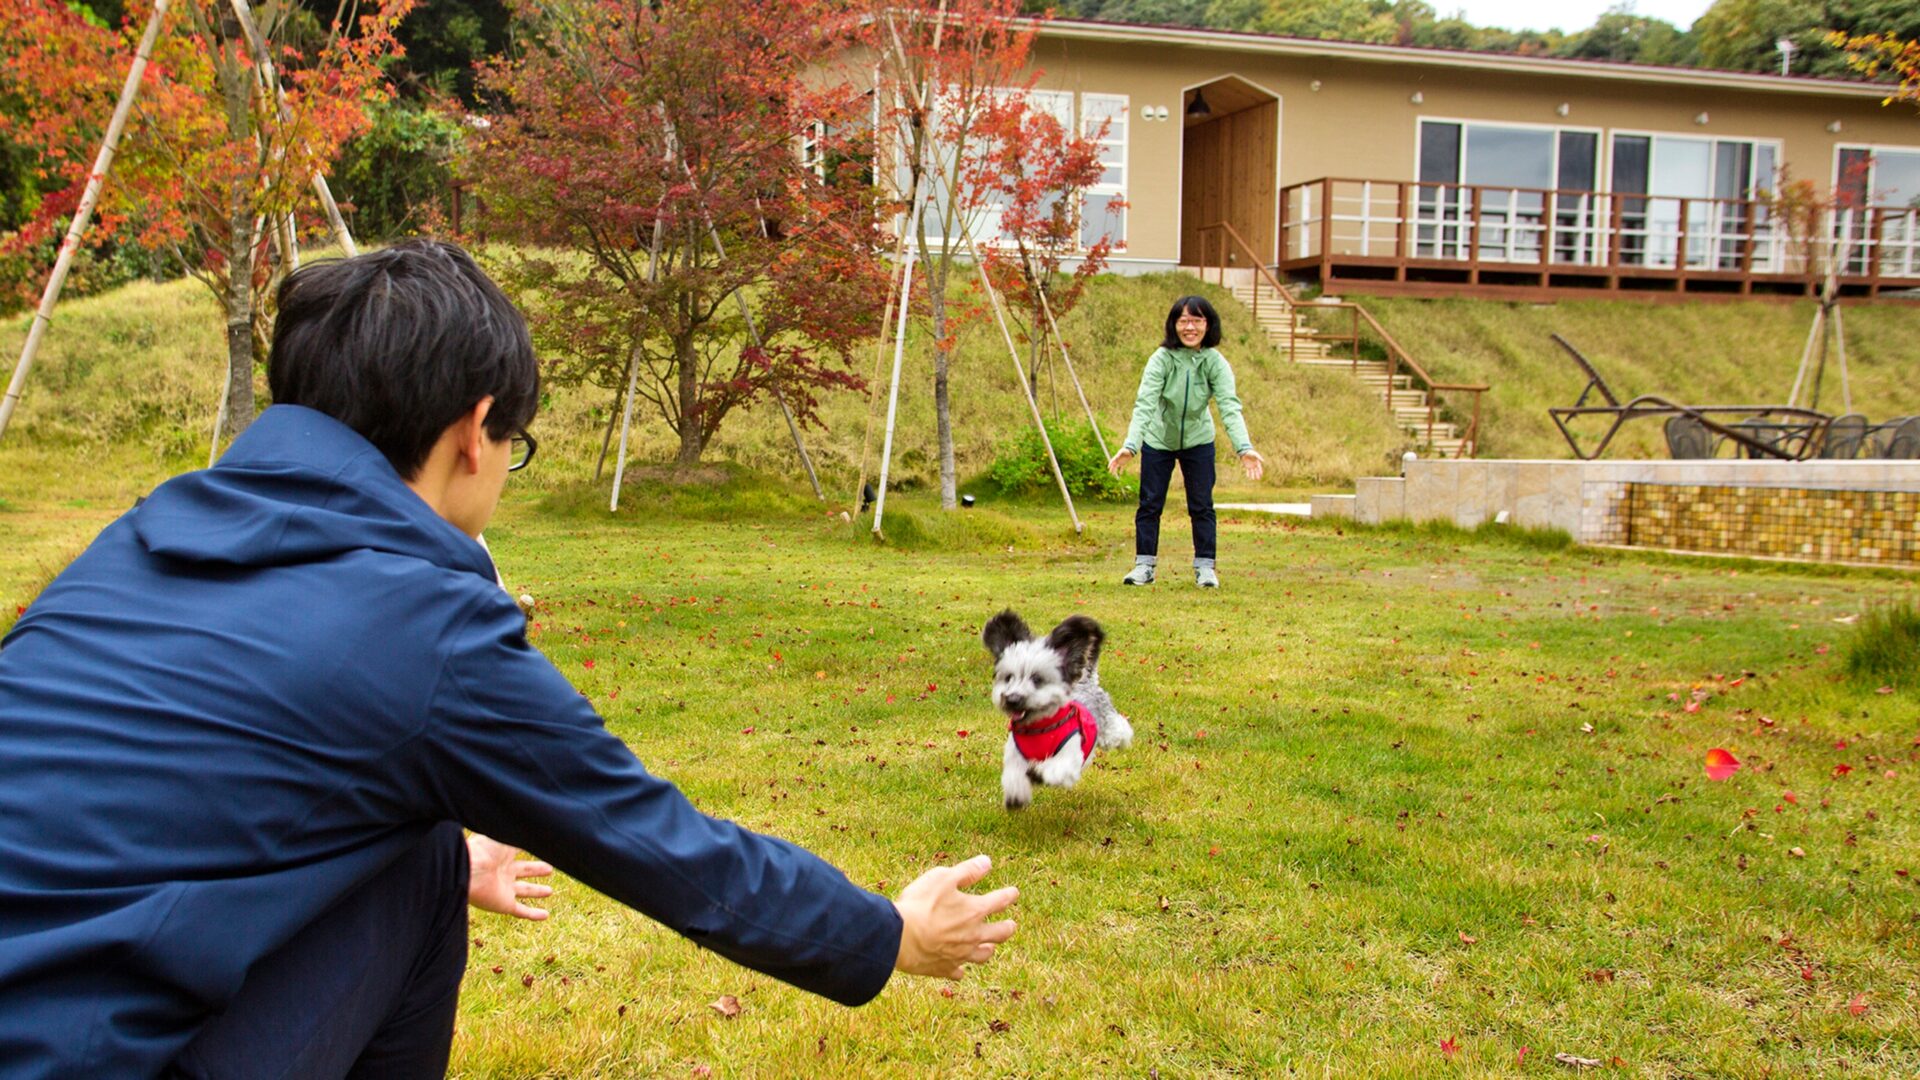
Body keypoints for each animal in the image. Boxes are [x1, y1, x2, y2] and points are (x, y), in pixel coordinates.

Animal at [983, 607, 1128, 807]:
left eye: (1037, 679)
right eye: (1008, 677)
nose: (1012, 699)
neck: (1039, 729)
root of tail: (1086, 681)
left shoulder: (1070, 758)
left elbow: (1057, 768)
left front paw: (1037, 773)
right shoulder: (1014, 755)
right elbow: (1013, 775)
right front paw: (1016, 796)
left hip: (1110, 729)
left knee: (1122, 730)